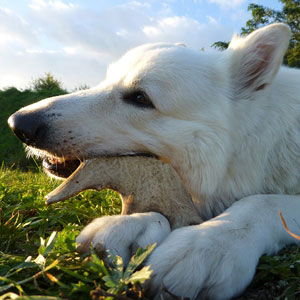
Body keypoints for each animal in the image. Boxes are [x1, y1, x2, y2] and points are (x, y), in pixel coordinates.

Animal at [8, 24, 300, 300]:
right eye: (105, 81)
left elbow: (263, 201)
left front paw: (208, 241)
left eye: (140, 98)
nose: (17, 124)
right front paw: (132, 224)